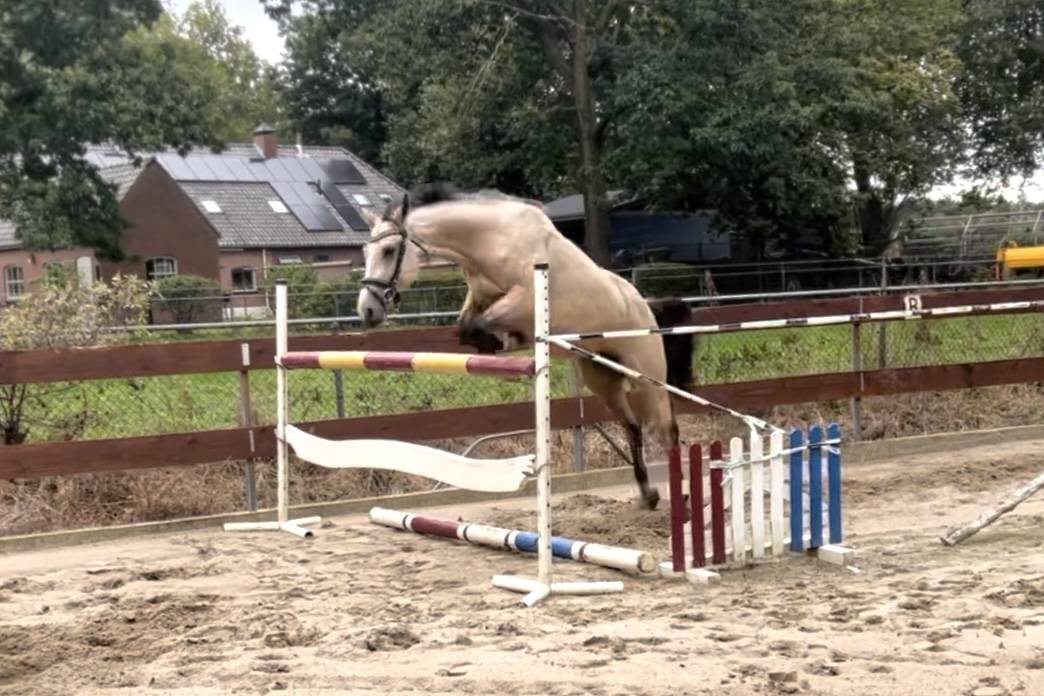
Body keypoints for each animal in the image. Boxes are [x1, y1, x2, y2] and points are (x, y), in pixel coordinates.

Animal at [355, 184, 693, 510]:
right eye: (365, 251)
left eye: (388, 251)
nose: (367, 310)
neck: (491, 240)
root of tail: (646, 305)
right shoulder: (479, 297)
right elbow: (466, 329)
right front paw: (497, 343)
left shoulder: (524, 299)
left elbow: (482, 324)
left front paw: (502, 340)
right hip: (601, 377)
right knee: (633, 427)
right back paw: (648, 495)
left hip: (647, 378)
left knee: (666, 429)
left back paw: (682, 496)